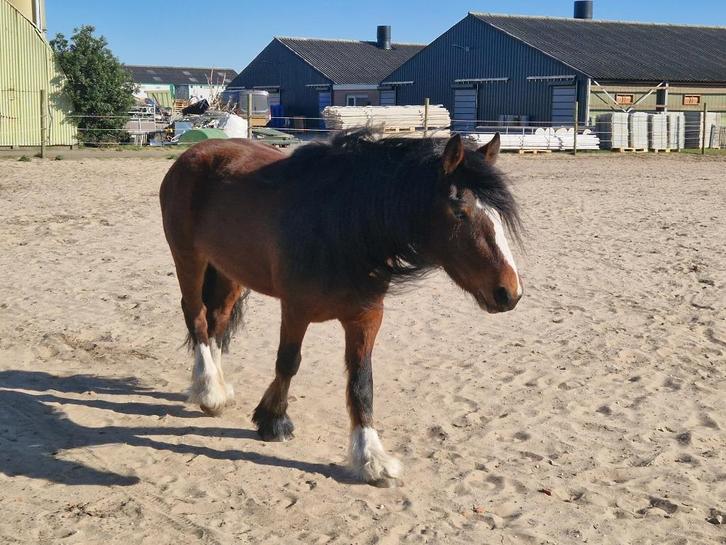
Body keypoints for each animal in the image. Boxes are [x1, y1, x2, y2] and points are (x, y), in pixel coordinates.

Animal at [159, 130, 522, 486]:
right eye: (460, 212)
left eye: (498, 214)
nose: (509, 293)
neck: (342, 226)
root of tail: (197, 151)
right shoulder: (296, 309)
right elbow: (288, 363)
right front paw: (274, 421)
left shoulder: (366, 317)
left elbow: (362, 381)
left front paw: (370, 456)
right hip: (189, 259)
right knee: (197, 318)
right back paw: (208, 390)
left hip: (230, 270)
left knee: (218, 320)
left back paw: (215, 386)